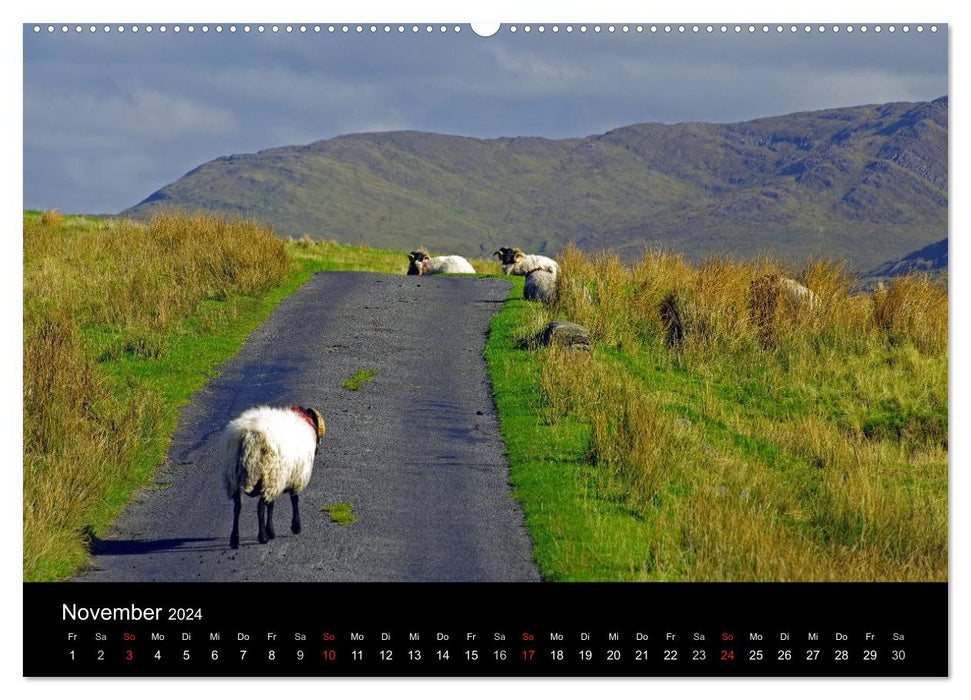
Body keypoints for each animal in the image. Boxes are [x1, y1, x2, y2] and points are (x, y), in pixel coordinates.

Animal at [222, 404, 324, 548]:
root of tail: (250, 436)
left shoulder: (276, 480)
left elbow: (272, 505)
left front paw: (271, 530)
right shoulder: (295, 477)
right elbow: (294, 500)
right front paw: (295, 526)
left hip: (236, 476)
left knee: (237, 507)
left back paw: (234, 539)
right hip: (269, 475)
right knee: (260, 507)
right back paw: (262, 537)